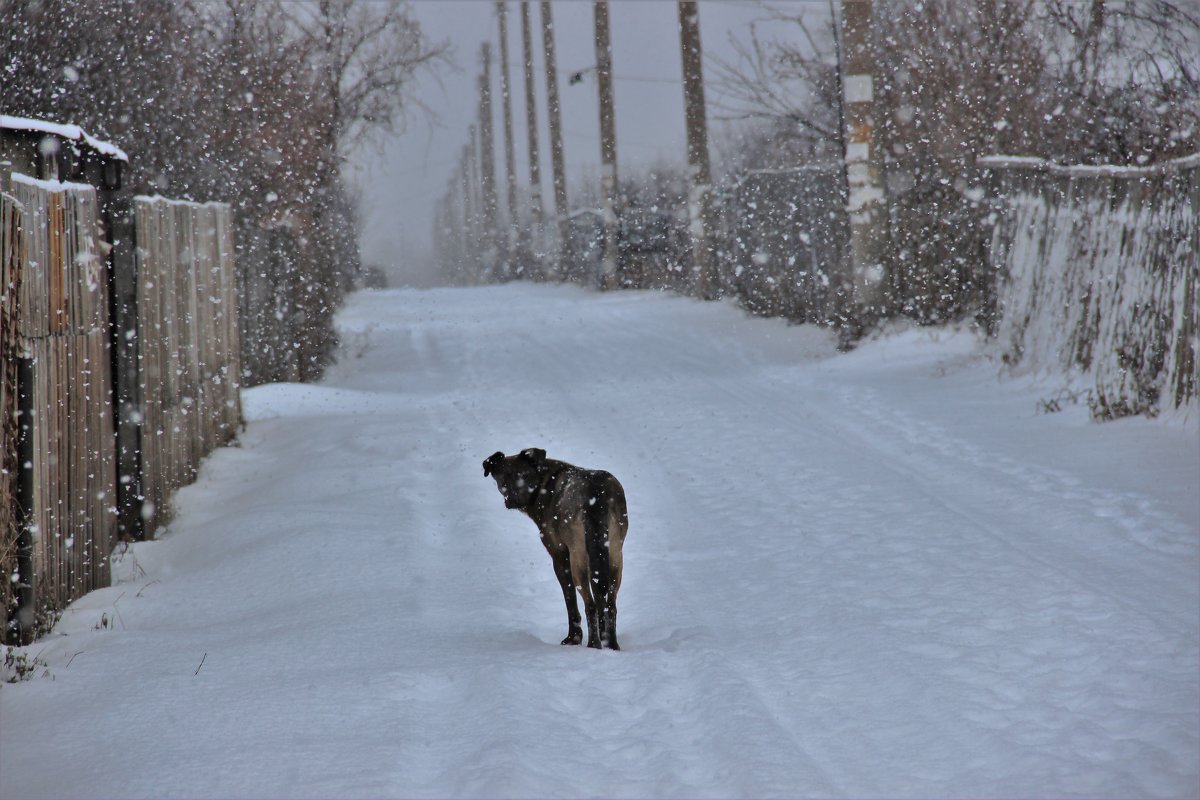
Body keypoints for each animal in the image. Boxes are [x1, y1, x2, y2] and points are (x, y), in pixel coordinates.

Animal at [482, 450, 628, 652]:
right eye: (503, 479)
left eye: (524, 475)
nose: (514, 500)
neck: (542, 484)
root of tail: (596, 494)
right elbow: (601, 601)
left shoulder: (560, 556)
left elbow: (570, 601)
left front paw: (573, 638)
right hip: (614, 555)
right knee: (609, 603)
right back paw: (611, 645)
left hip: (578, 559)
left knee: (590, 604)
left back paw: (593, 645)